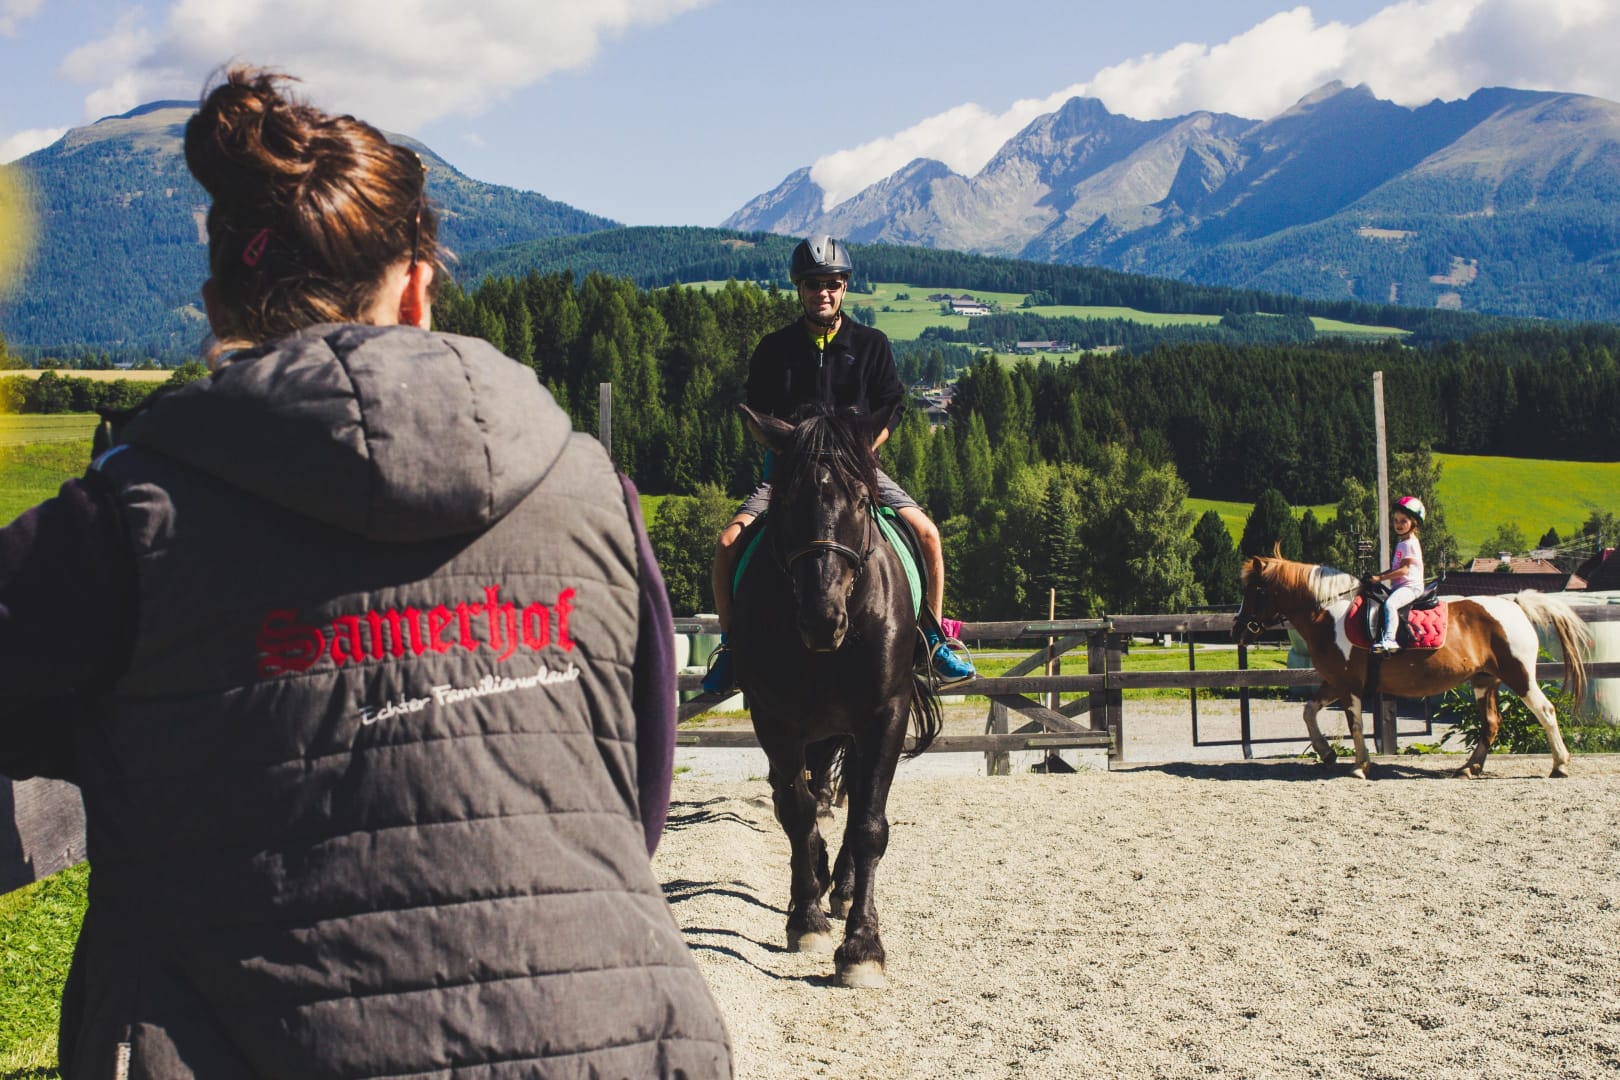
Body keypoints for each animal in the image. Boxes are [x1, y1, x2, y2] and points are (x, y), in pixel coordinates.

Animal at [730, 403, 943, 988]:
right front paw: (806, 918)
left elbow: (868, 823)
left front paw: (863, 946)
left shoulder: (884, 714)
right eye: (785, 500)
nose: (822, 618)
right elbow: (797, 811)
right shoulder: (774, 717)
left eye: (863, 500)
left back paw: (844, 889)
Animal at [1231, 553, 1591, 779]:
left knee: (1545, 712)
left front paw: (1360, 765)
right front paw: (1327, 753)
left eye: (1257, 589)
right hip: (1484, 680)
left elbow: (1355, 725)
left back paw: (1559, 765)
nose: (1237, 629)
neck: (1329, 614)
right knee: (1491, 723)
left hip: (1519, 676)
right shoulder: (1334, 681)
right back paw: (1469, 767)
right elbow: (1309, 711)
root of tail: (1514, 603)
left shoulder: (1348, 685)